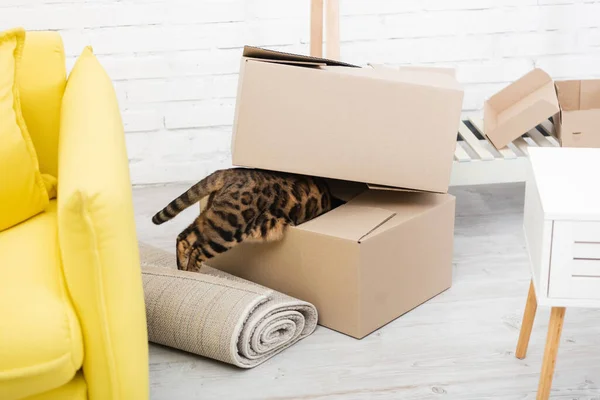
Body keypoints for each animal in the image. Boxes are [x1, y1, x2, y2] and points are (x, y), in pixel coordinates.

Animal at [150, 167, 340, 274]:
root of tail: (229, 172)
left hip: (211, 219)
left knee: (184, 237)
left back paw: (184, 273)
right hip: (227, 230)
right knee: (197, 251)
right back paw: (193, 273)